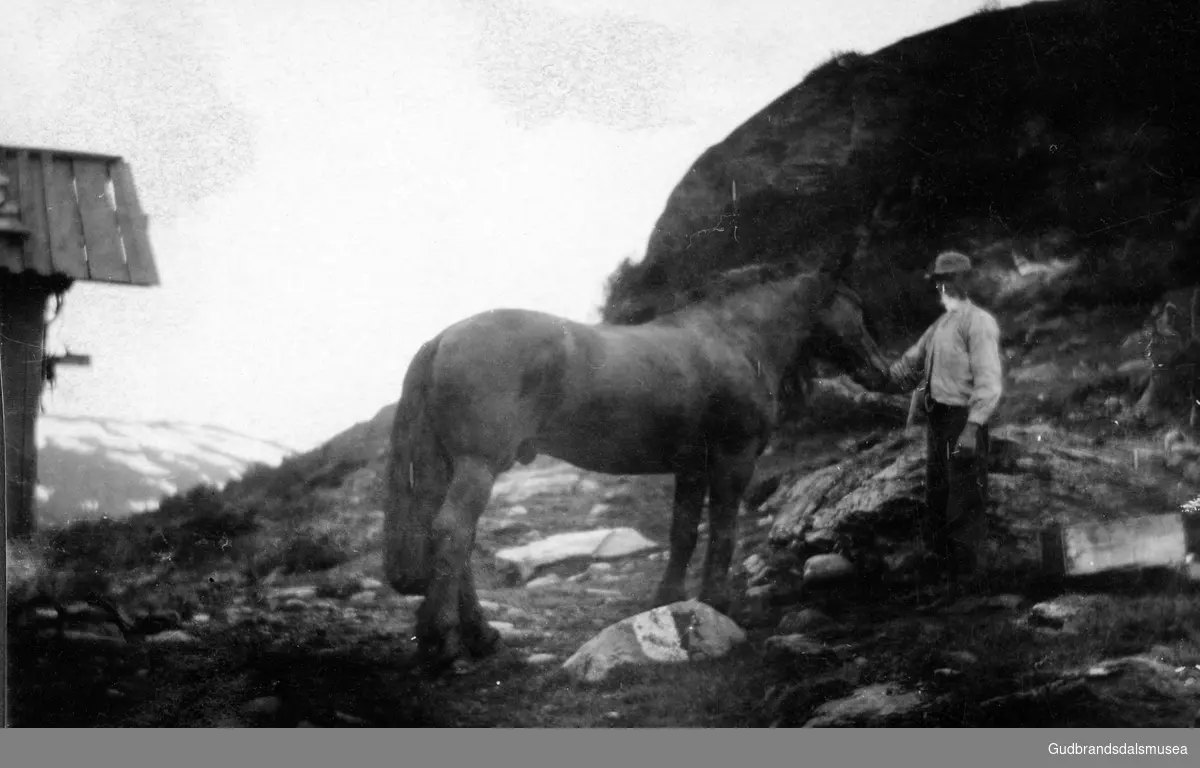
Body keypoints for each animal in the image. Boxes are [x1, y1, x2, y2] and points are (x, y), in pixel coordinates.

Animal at [384, 264, 892, 672]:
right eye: (854, 307)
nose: (883, 371)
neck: (733, 338)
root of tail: (442, 339)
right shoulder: (734, 458)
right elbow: (723, 530)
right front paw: (717, 601)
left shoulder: (691, 467)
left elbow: (684, 531)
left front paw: (669, 598)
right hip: (478, 465)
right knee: (452, 532)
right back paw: (445, 646)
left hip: (447, 466)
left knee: (455, 540)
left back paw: (481, 637)